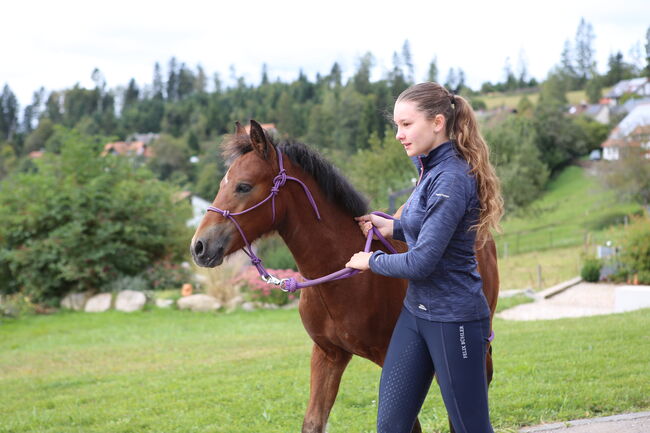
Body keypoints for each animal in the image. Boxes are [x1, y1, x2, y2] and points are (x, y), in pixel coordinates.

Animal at [190, 120, 498, 432]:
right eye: (222, 185)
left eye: (243, 186)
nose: (199, 247)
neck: (340, 280)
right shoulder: (328, 355)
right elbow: (313, 422)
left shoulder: (390, 357)